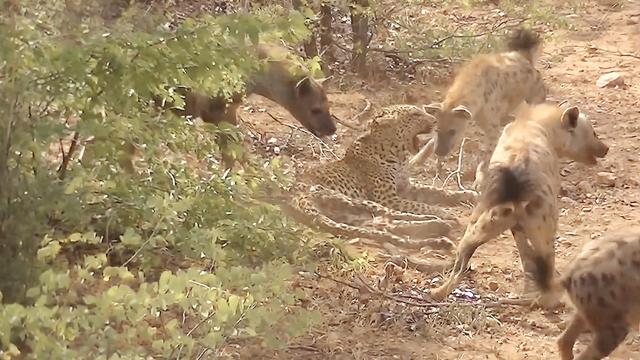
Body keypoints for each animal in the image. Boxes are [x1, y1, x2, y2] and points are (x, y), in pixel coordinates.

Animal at [424, 101, 608, 306]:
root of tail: (513, 185)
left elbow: (525, 254)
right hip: (545, 224)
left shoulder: (516, 226)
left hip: (480, 224)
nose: (606, 148)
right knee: (548, 261)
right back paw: (551, 298)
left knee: (461, 261)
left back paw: (438, 292)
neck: (534, 124)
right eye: (594, 133)